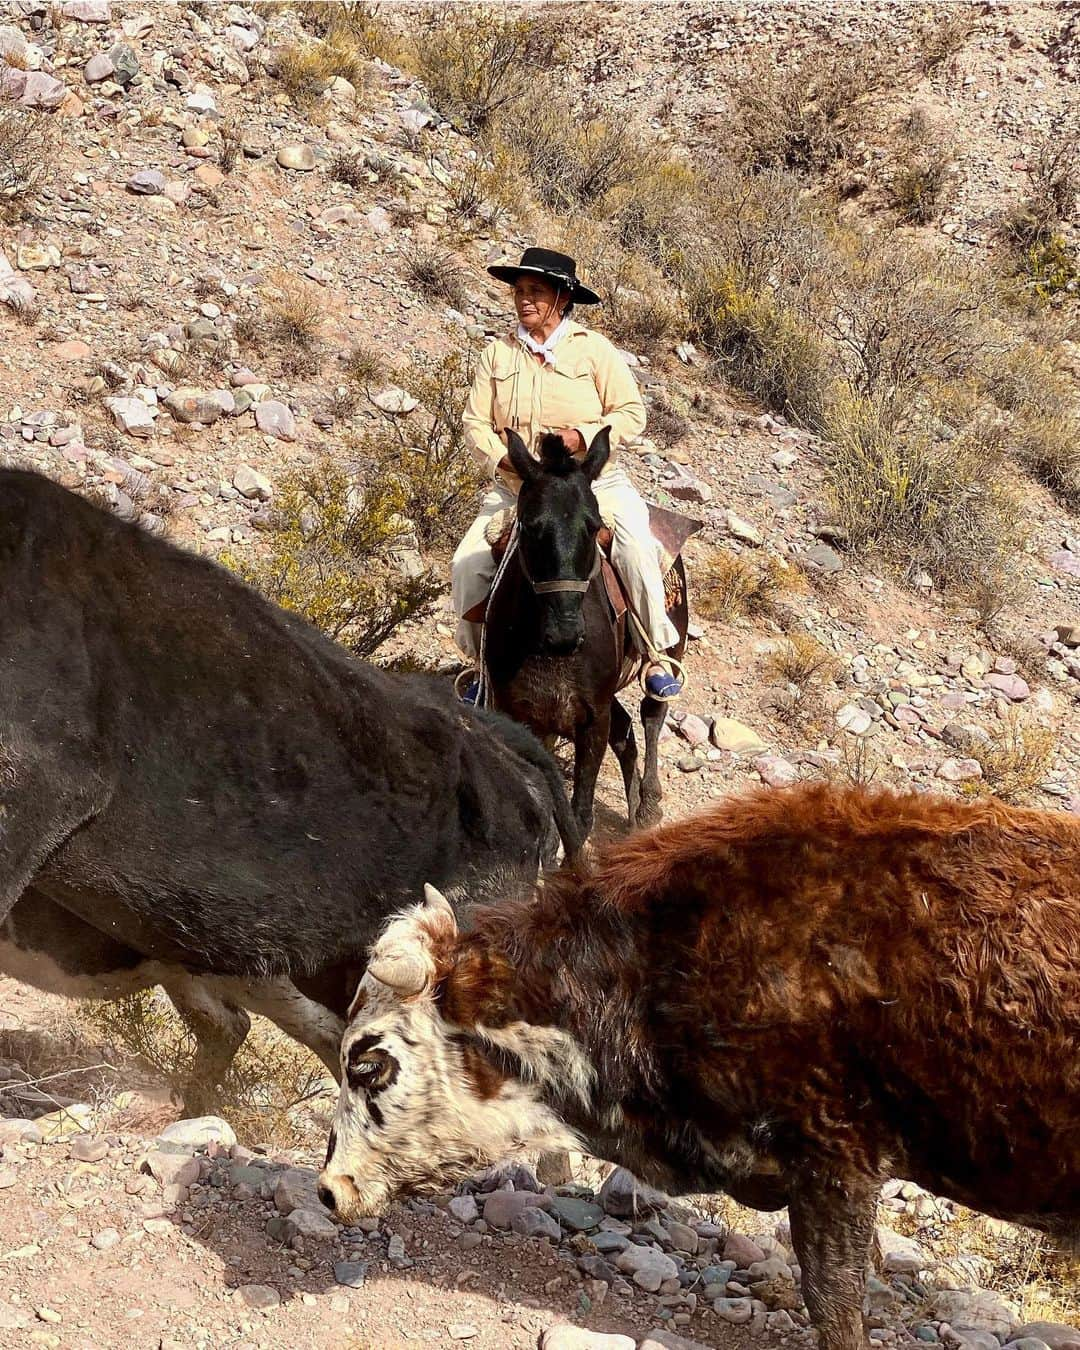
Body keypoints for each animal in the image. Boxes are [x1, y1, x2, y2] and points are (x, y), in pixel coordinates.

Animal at [483, 426, 691, 837]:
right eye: (530, 525)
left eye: (594, 527)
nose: (565, 633)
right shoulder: (524, 715)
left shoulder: (593, 716)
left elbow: (579, 816)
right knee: (625, 733)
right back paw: (634, 808)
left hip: (663, 655)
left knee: (651, 715)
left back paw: (649, 804)